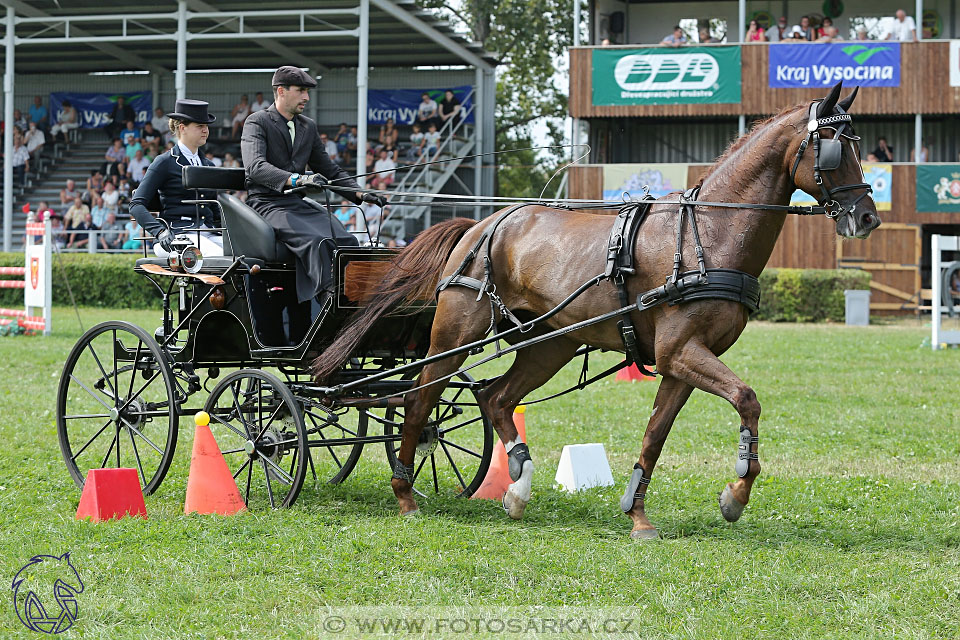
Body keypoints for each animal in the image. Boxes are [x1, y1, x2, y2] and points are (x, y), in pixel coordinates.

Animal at [316, 82, 876, 536]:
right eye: (833, 148)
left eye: (859, 146)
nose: (867, 216)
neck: (708, 233)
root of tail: (481, 224)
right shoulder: (680, 352)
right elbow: (747, 398)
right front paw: (735, 494)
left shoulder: (680, 362)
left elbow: (655, 436)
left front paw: (638, 514)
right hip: (455, 335)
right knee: (419, 400)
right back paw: (406, 495)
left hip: (551, 344)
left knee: (496, 398)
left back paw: (517, 488)